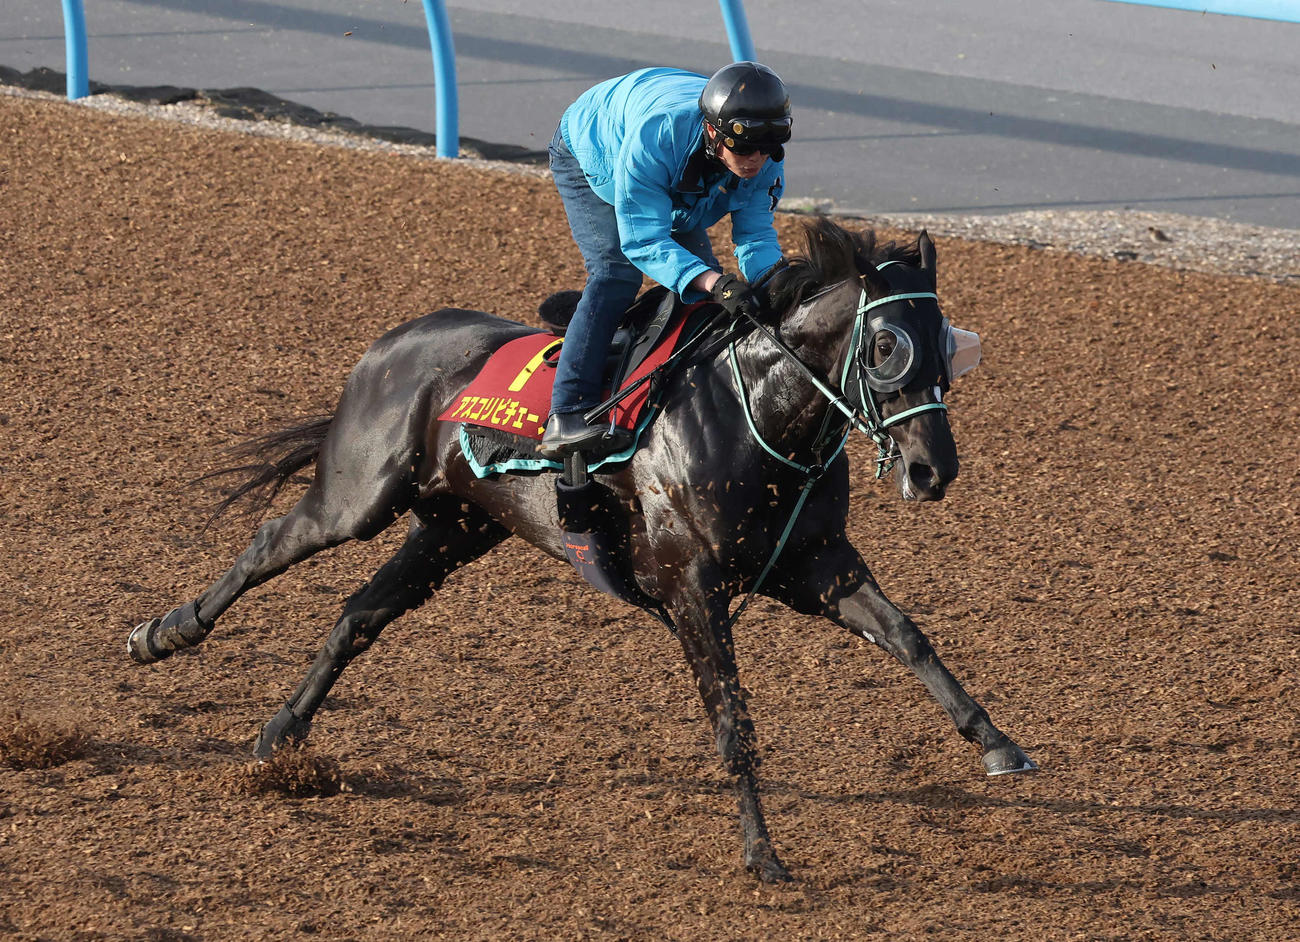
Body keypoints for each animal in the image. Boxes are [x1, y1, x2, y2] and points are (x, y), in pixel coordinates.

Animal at [127, 217, 1035, 882]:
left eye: (944, 342)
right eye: (885, 345)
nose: (932, 469)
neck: (757, 414)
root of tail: (394, 341)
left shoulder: (816, 567)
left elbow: (909, 636)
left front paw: (999, 744)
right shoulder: (692, 588)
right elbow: (733, 718)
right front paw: (762, 853)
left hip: (454, 528)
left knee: (358, 616)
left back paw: (281, 735)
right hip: (359, 496)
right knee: (271, 541)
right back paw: (162, 634)